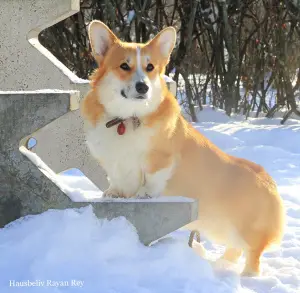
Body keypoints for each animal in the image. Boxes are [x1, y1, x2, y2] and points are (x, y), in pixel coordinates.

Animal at [81, 20, 284, 276]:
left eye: (150, 67)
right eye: (124, 66)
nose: (143, 87)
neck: (127, 118)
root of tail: (269, 180)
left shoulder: (161, 159)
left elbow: (151, 179)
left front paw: (144, 194)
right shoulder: (113, 162)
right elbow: (116, 180)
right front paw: (113, 194)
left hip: (247, 229)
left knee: (252, 254)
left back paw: (247, 277)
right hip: (221, 228)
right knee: (234, 249)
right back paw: (221, 264)